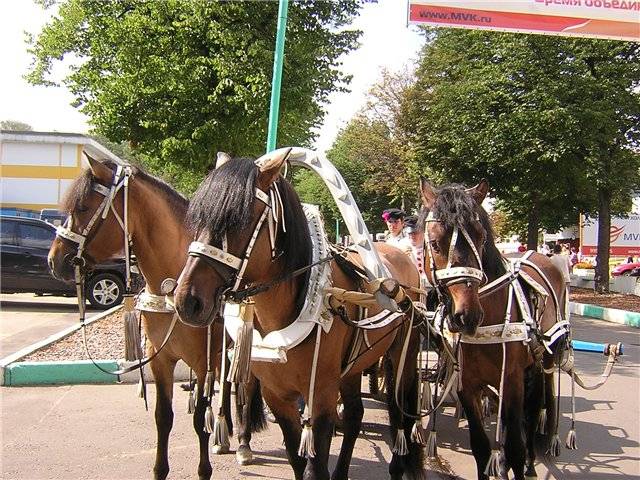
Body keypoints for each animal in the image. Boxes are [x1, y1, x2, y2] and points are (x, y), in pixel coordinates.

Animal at [46, 156, 264, 478]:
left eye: (83, 207)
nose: (54, 260)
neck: (172, 285)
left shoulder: (201, 361)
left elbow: (199, 418)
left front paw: (204, 469)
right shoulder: (160, 359)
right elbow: (164, 416)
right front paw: (160, 469)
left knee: (245, 385)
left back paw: (244, 444)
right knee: (227, 384)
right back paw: (224, 438)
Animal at [172, 148, 428, 478]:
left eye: (239, 219)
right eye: (200, 217)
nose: (187, 301)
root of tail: (401, 256)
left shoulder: (321, 396)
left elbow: (316, 465)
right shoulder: (277, 397)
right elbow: (296, 457)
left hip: (402, 354)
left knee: (399, 412)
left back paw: (398, 465)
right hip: (352, 368)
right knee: (355, 415)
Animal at [420, 179, 564, 480]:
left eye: (481, 237)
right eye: (436, 244)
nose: (467, 316)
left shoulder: (511, 379)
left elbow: (515, 445)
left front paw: (519, 462)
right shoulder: (468, 384)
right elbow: (481, 447)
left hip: (541, 362)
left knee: (534, 410)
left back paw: (532, 462)